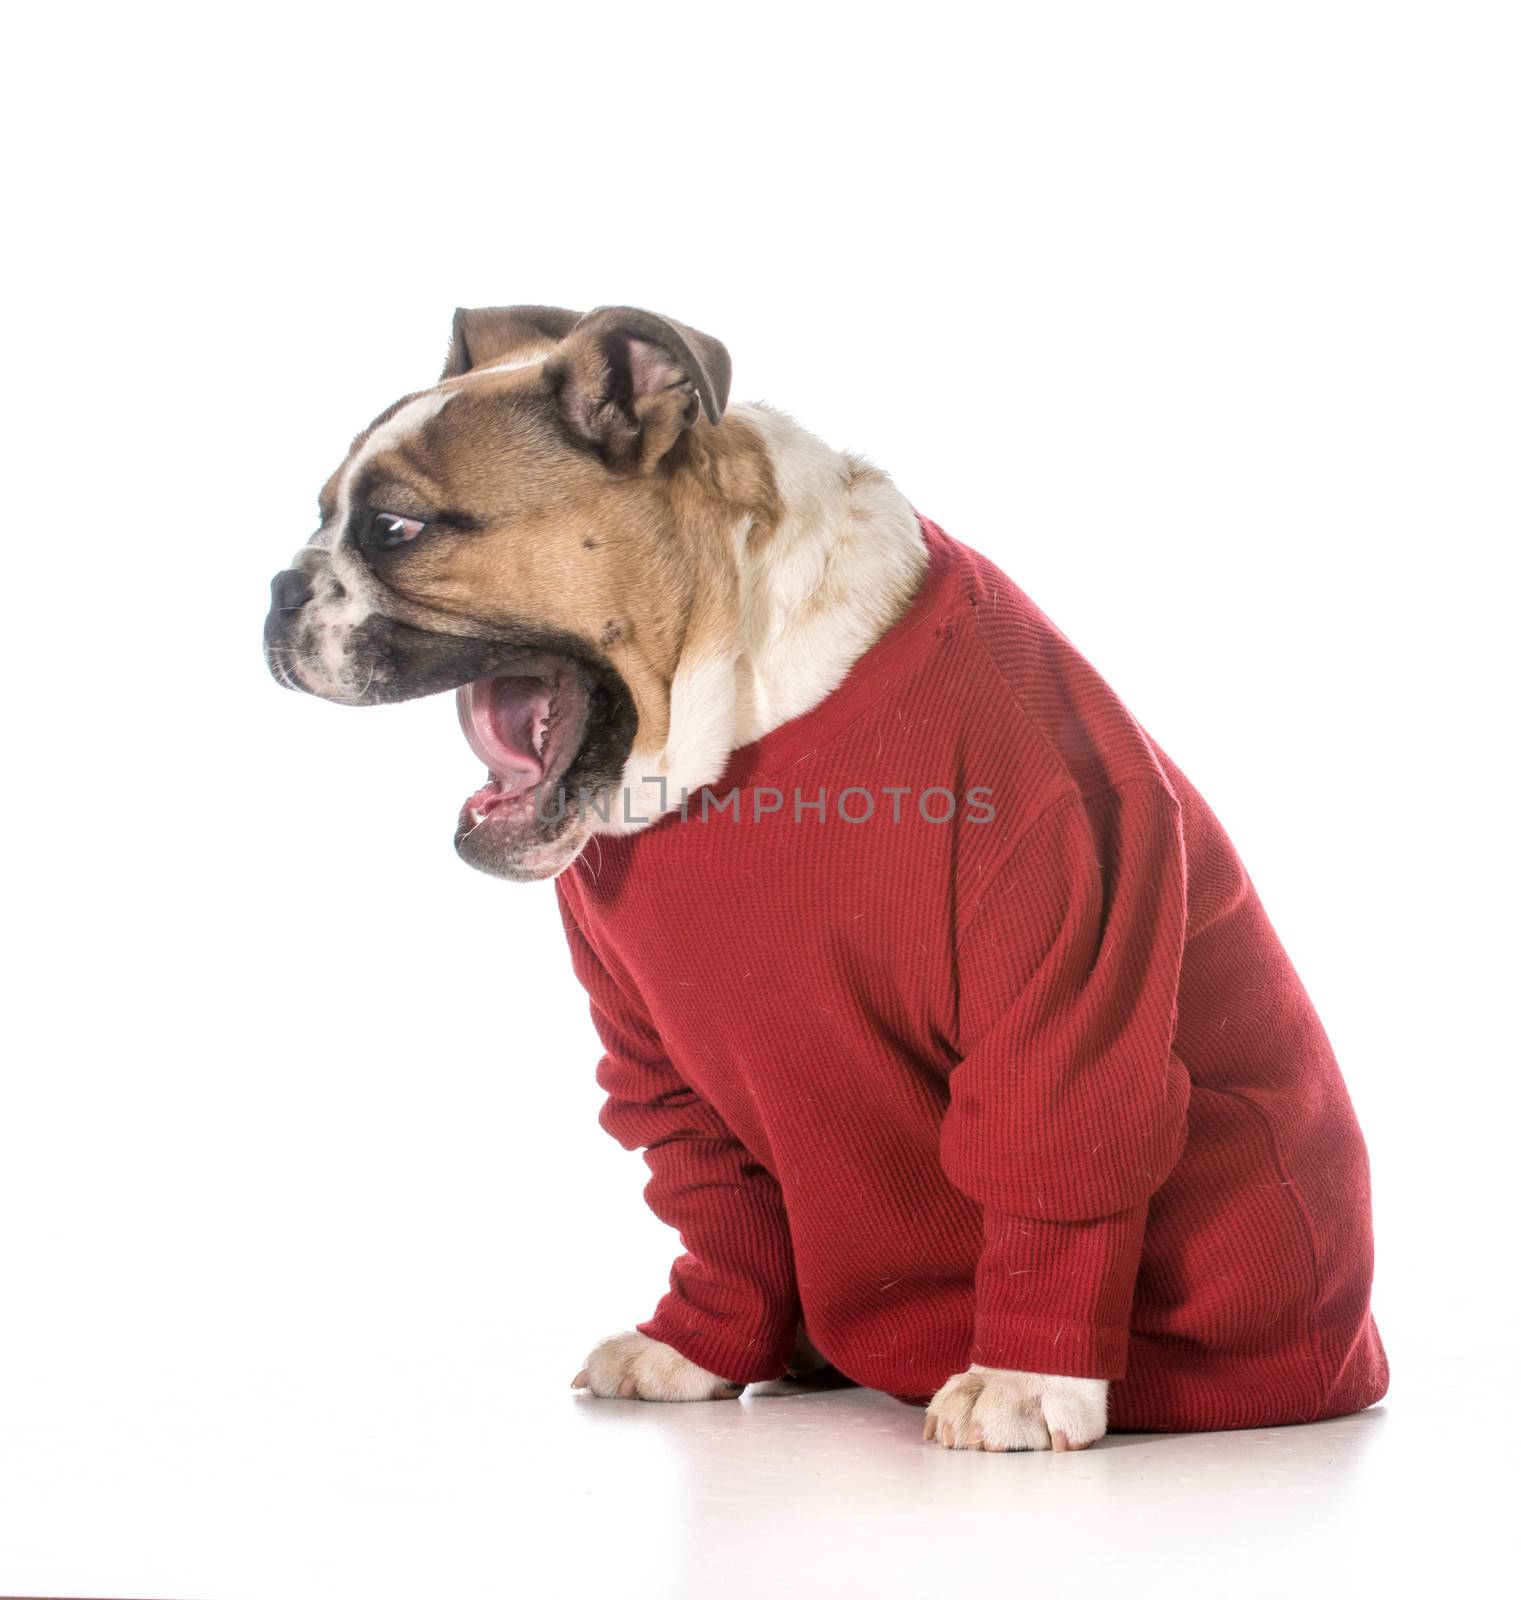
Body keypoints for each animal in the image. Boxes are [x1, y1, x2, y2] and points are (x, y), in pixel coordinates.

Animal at [263, 305, 1394, 1459]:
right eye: (320, 515)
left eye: (395, 528)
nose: (277, 591)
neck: (738, 696)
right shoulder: (661, 1057)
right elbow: (710, 1196)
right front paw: (696, 1344)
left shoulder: (1068, 956)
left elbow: (1055, 1155)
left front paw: (1028, 1375)